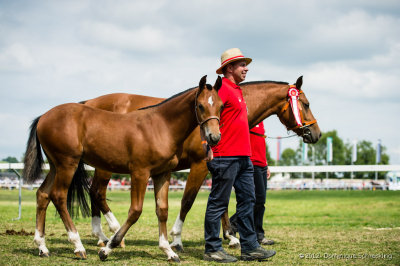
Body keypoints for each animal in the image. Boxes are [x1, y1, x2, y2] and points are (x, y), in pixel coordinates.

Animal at [21, 75, 223, 262]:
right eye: (200, 106)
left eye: (221, 106)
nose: (214, 137)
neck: (160, 126)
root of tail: (43, 117)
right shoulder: (140, 173)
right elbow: (135, 211)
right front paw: (108, 249)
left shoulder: (162, 174)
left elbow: (162, 210)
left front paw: (168, 251)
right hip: (67, 164)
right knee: (59, 196)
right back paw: (78, 245)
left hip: (55, 166)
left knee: (43, 195)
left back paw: (42, 246)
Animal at [84, 76, 322, 250]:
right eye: (306, 104)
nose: (316, 133)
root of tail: (88, 103)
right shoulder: (200, 165)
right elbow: (188, 201)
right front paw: (176, 238)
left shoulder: (221, 167)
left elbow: (222, 202)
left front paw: (231, 237)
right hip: (106, 166)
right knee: (97, 192)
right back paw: (114, 232)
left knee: (93, 192)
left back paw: (102, 235)